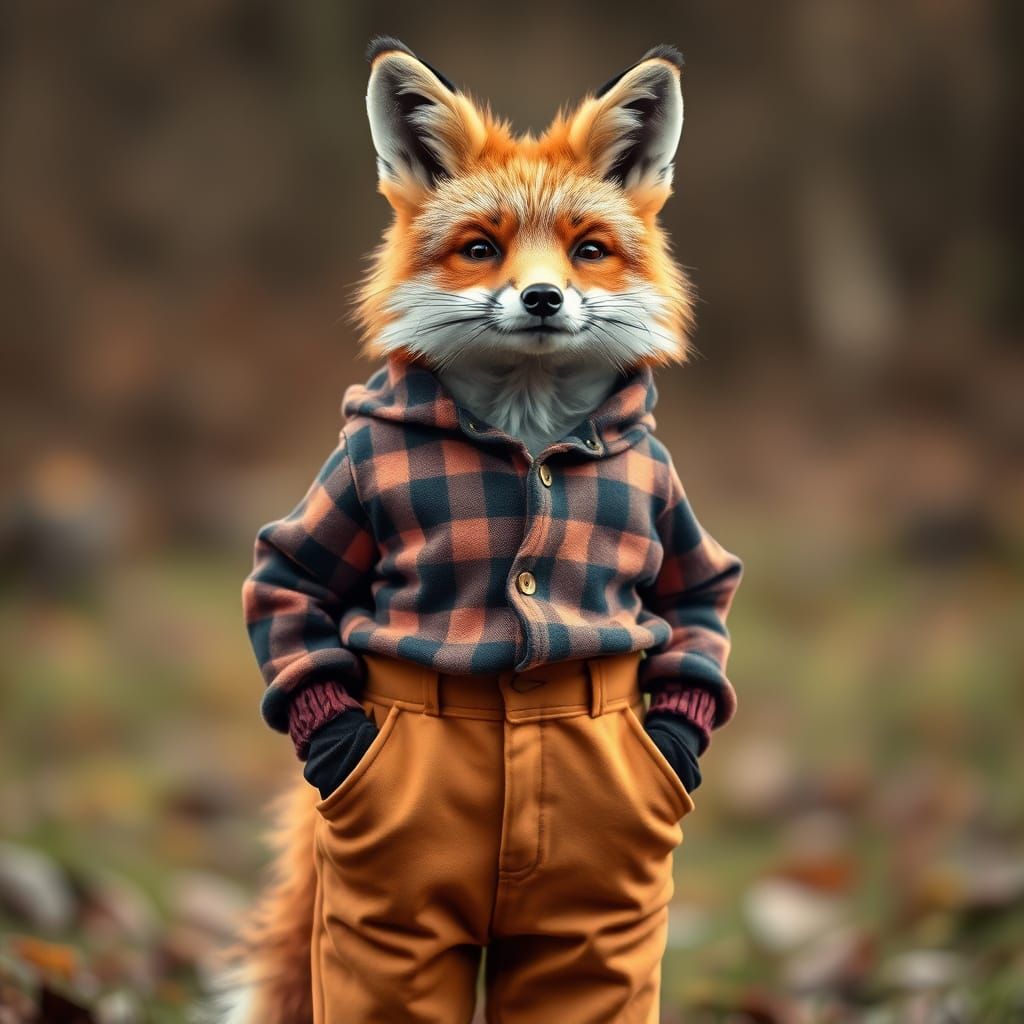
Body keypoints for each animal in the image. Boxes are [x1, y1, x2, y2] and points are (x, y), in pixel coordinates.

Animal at [210, 36, 742, 1024]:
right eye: (481, 248)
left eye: (588, 250)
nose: (541, 298)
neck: (526, 439)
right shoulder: (347, 477)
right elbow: (287, 575)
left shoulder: (665, 497)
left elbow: (700, 590)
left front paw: (681, 724)